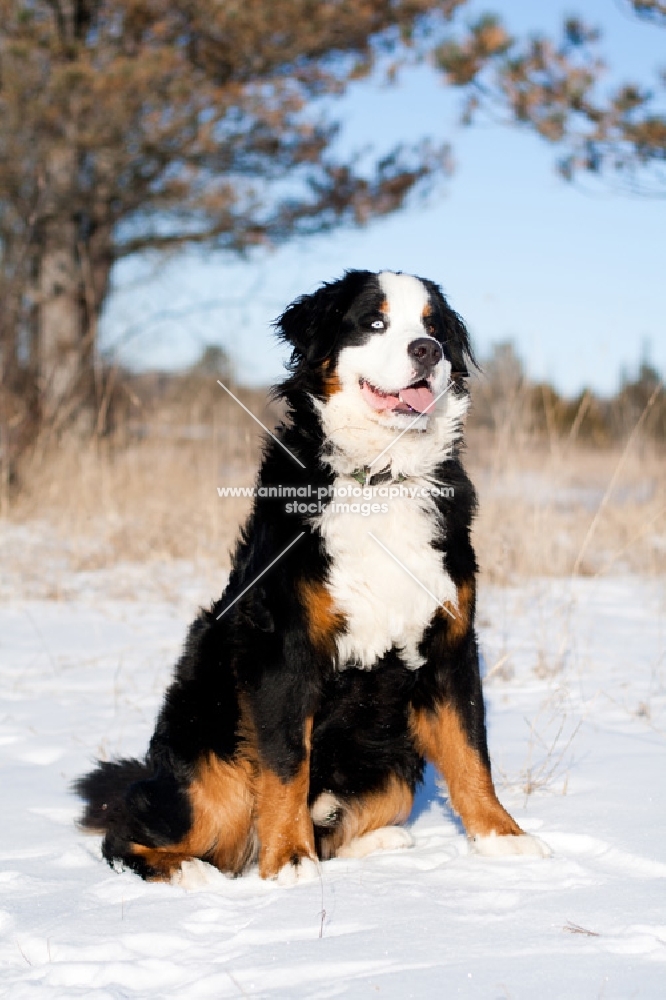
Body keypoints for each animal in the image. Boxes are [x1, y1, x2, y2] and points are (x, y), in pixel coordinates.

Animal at [78, 272, 548, 884]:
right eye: (374, 321)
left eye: (434, 327)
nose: (427, 350)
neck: (380, 479)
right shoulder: (285, 650)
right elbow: (285, 766)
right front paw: (289, 863)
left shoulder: (449, 644)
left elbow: (472, 753)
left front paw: (503, 837)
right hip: (212, 778)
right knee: (133, 831)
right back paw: (191, 871)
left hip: (392, 765)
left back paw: (385, 841)